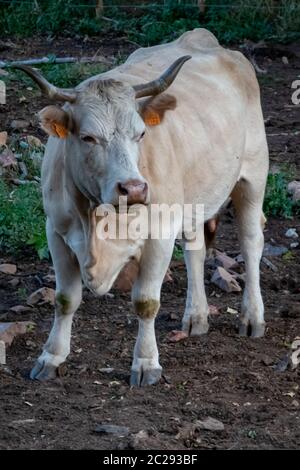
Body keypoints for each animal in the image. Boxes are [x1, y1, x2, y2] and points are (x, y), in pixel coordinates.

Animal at [15, 28, 270, 386]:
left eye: (141, 133)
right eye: (88, 137)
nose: (134, 188)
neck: (97, 217)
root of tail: (205, 38)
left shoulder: (160, 233)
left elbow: (146, 302)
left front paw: (146, 363)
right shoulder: (56, 231)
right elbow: (65, 300)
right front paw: (50, 357)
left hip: (253, 175)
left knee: (250, 242)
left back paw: (252, 317)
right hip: (193, 197)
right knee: (195, 249)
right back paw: (196, 316)